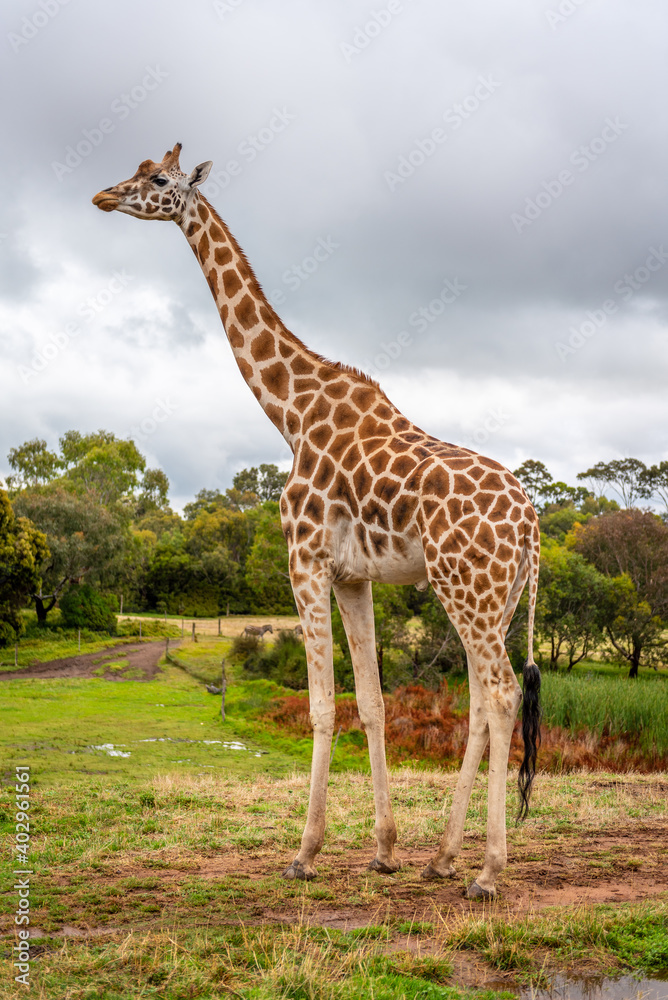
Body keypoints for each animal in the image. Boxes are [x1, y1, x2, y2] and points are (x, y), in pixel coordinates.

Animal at [93, 144, 541, 899]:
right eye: (138, 165)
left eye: (157, 179)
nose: (102, 196)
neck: (291, 410)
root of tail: (534, 526)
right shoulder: (353, 575)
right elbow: (372, 702)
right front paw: (385, 848)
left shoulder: (302, 558)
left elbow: (322, 705)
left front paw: (305, 852)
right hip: (495, 599)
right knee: (483, 699)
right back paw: (442, 857)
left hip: (466, 588)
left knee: (503, 695)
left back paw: (486, 870)